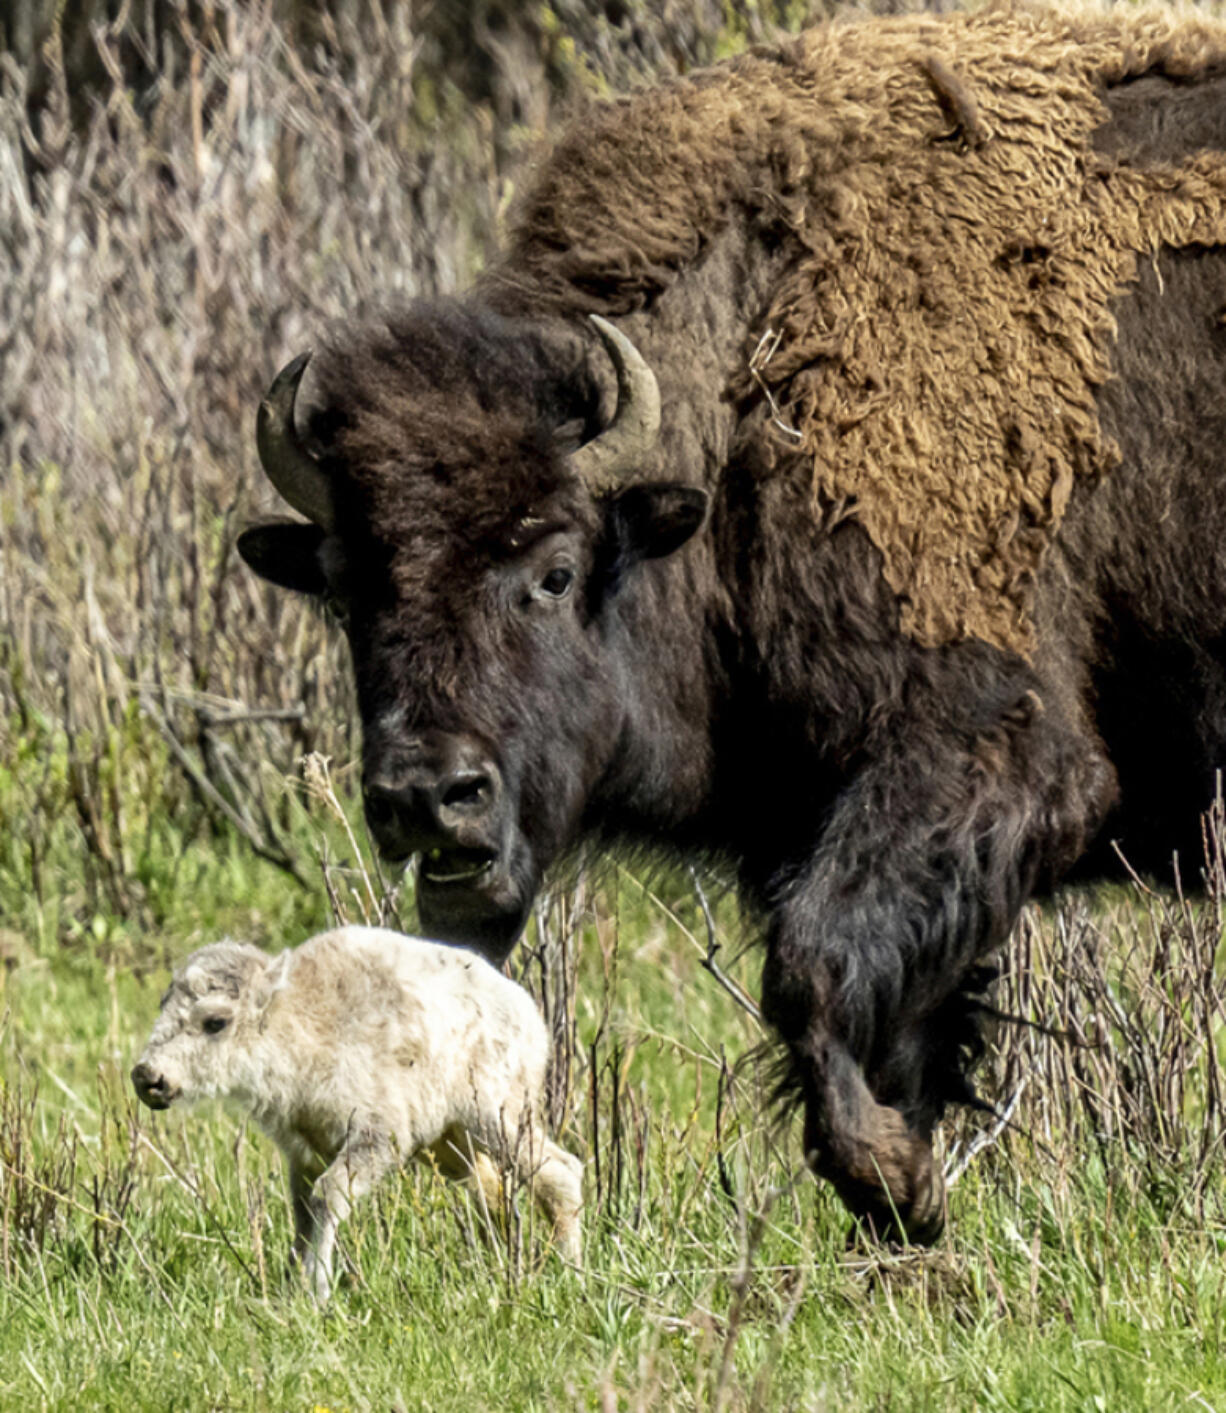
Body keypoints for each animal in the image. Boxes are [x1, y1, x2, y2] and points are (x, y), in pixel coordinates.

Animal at [131, 926, 581, 1299]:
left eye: (215, 1022)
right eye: (163, 1005)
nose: (148, 1076)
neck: (300, 1020)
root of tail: (527, 1011)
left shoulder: (376, 1136)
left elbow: (327, 1197)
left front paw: (317, 1290)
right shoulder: (304, 1151)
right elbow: (302, 1213)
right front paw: (293, 1285)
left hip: (496, 1117)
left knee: (560, 1171)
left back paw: (567, 1269)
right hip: (451, 1144)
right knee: (494, 1190)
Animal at [237, 5, 1226, 1243]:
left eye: (555, 571)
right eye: (342, 589)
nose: (429, 797)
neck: (754, 383)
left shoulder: (987, 753)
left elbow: (810, 970)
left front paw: (891, 1181)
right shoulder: (816, 815)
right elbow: (875, 1017)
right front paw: (904, 1192)